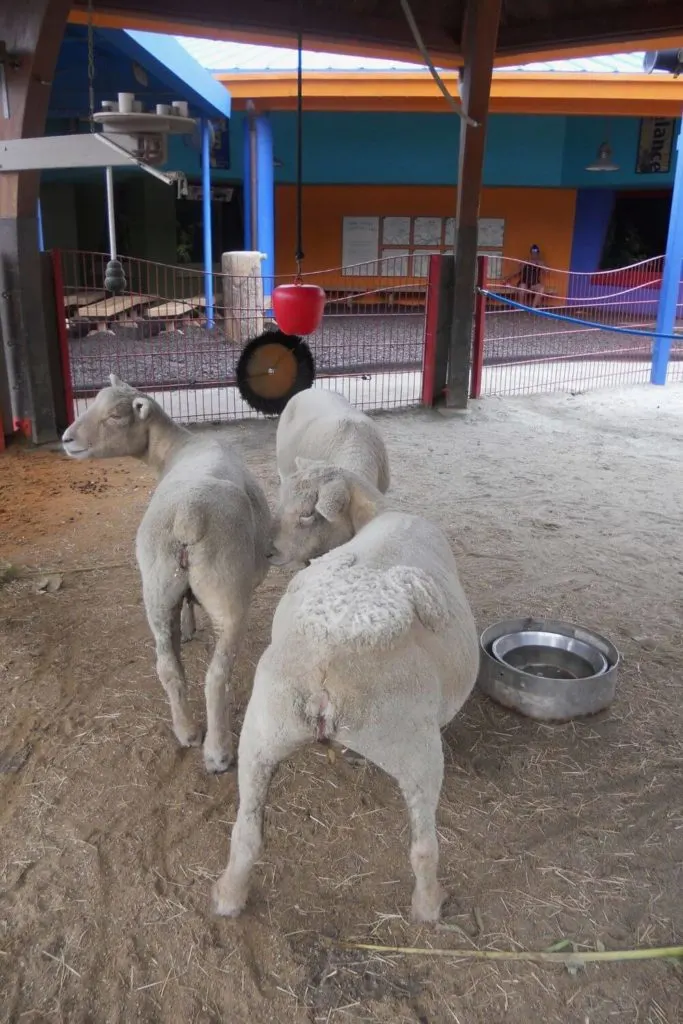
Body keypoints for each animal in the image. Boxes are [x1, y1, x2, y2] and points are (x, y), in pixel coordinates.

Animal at [60, 378, 270, 774]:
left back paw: (186, 731)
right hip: (228, 595)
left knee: (168, 667)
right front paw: (190, 627)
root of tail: (188, 516)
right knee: (216, 678)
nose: (65, 439)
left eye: (115, 414)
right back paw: (217, 752)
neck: (176, 448)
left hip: (156, 589)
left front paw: (187, 628)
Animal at [215, 468, 481, 925]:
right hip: (413, 747)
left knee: (246, 833)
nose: (268, 552)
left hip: (263, 728)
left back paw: (229, 896)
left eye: (307, 514)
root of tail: (325, 675)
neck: (381, 512)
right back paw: (429, 906)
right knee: (424, 847)